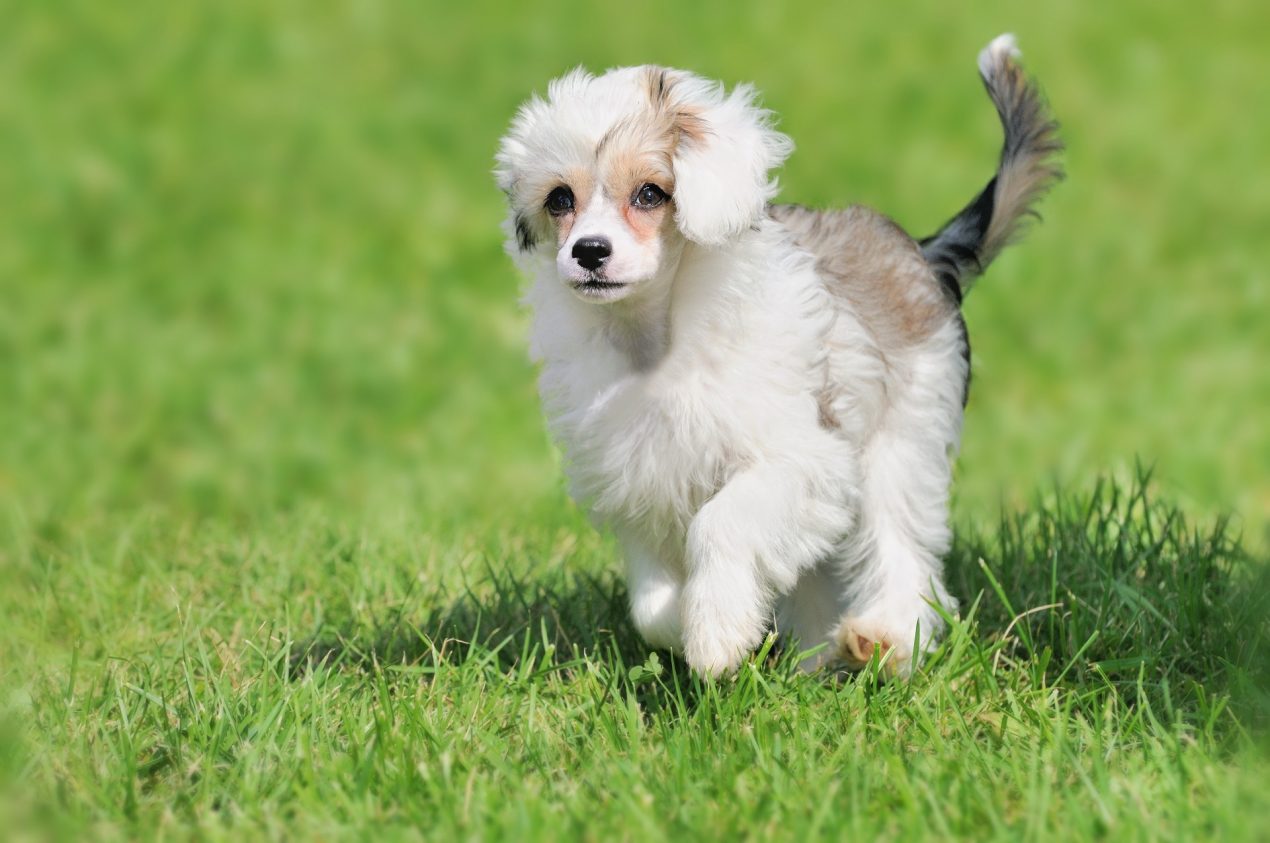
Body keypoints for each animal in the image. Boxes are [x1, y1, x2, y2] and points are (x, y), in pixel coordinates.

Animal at [495, 36, 1061, 680]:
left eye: (649, 193)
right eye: (560, 199)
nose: (589, 251)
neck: (654, 340)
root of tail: (921, 251)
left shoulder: (804, 461)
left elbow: (720, 524)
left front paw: (715, 632)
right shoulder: (637, 485)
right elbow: (650, 603)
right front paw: (693, 621)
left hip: (901, 443)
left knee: (902, 551)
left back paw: (886, 637)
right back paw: (814, 658)